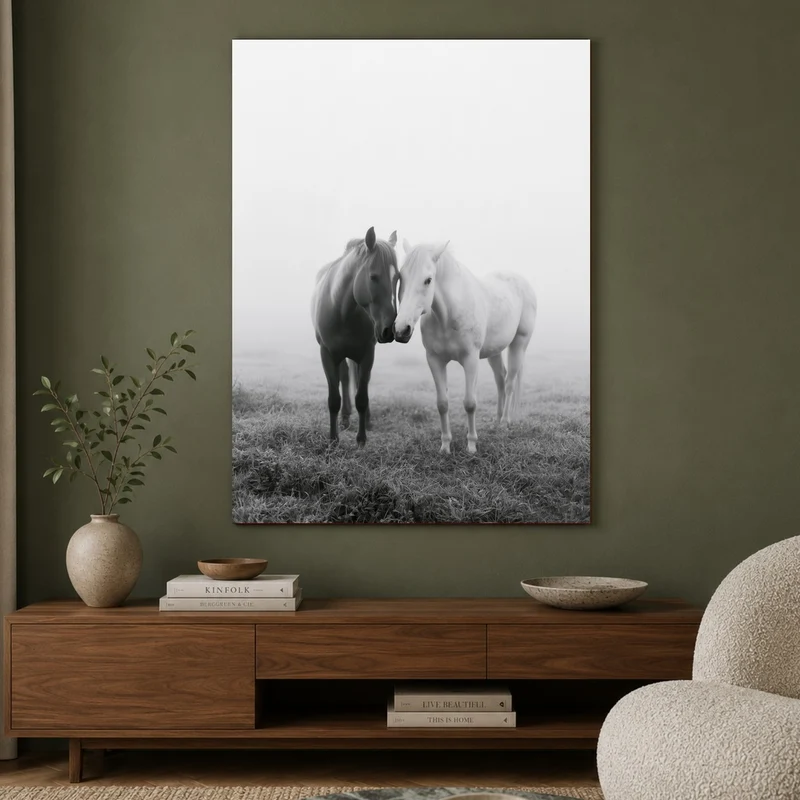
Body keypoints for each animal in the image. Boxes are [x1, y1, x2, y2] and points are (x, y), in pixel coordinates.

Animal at [311, 227, 398, 447]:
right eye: (373, 277)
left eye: (397, 278)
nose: (389, 330)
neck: (342, 309)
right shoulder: (327, 354)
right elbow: (334, 398)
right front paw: (333, 439)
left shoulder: (367, 354)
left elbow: (362, 396)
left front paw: (361, 439)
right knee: (344, 378)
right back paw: (345, 418)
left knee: (357, 380)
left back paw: (365, 420)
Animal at [393, 239, 537, 454]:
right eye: (400, 277)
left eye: (428, 280)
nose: (401, 329)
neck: (448, 317)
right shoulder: (435, 360)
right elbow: (442, 404)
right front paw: (445, 446)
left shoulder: (470, 359)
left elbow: (470, 403)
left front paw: (471, 445)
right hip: (494, 352)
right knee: (501, 380)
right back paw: (497, 420)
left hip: (518, 344)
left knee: (510, 382)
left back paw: (505, 421)